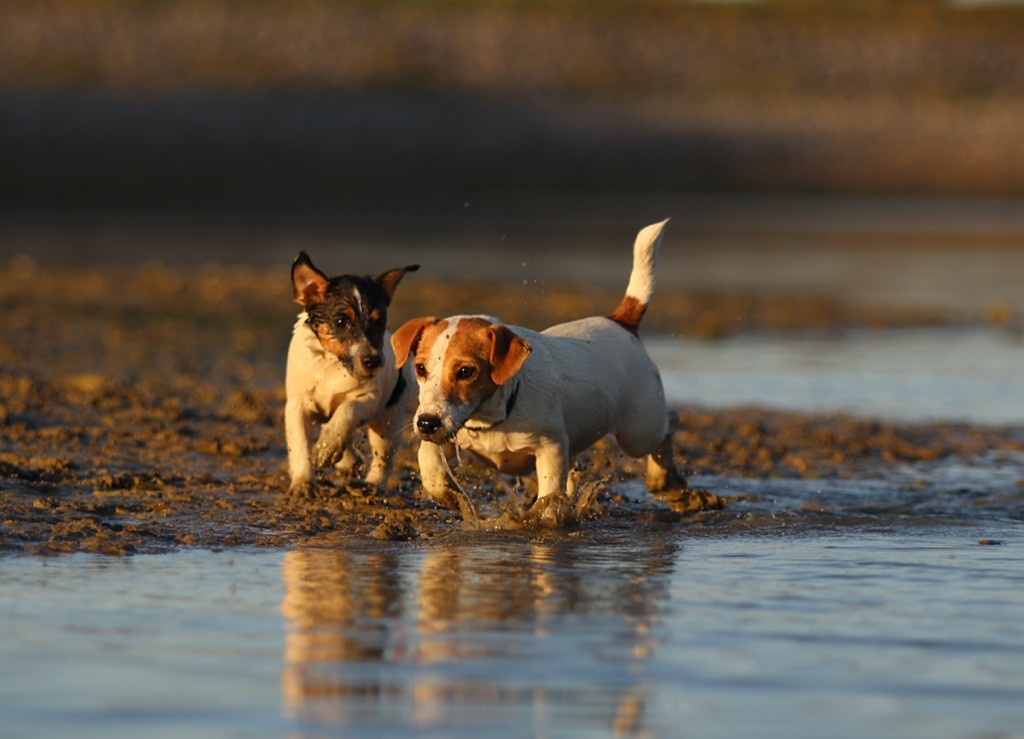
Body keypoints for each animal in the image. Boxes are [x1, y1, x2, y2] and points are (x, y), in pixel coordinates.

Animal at [286, 251, 417, 495]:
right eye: (341, 321)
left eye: (380, 320)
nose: (374, 361)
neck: (332, 365)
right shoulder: (297, 405)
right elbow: (298, 444)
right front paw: (303, 483)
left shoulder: (368, 398)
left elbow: (347, 410)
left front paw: (328, 445)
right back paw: (346, 460)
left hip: (388, 420)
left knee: (383, 458)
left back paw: (370, 485)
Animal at [391, 216, 688, 507]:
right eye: (420, 368)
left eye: (466, 371)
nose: (426, 423)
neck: (494, 416)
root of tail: (620, 321)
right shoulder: (447, 433)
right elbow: (427, 458)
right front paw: (445, 492)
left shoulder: (550, 449)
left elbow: (548, 493)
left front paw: (545, 514)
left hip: (639, 431)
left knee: (670, 423)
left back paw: (663, 478)